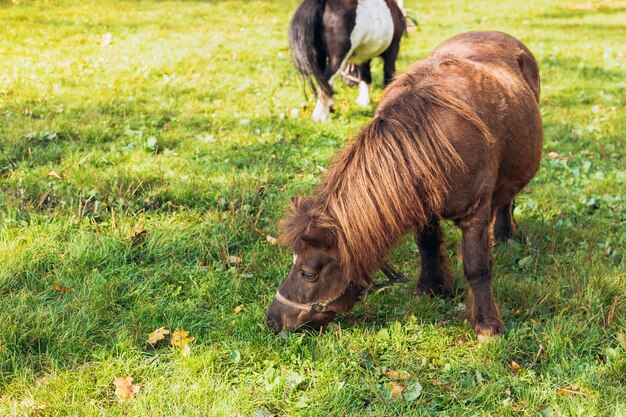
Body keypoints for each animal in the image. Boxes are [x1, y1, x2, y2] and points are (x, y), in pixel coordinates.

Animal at [266, 31, 540, 338]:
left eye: (308, 273)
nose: (273, 320)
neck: (433, 139)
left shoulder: (475, 212)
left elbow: (477, 266)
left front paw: (487, 326)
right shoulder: (421, 205)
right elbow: (428, 245)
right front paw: (432, 289)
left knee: (506, 199)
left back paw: (503, 233)